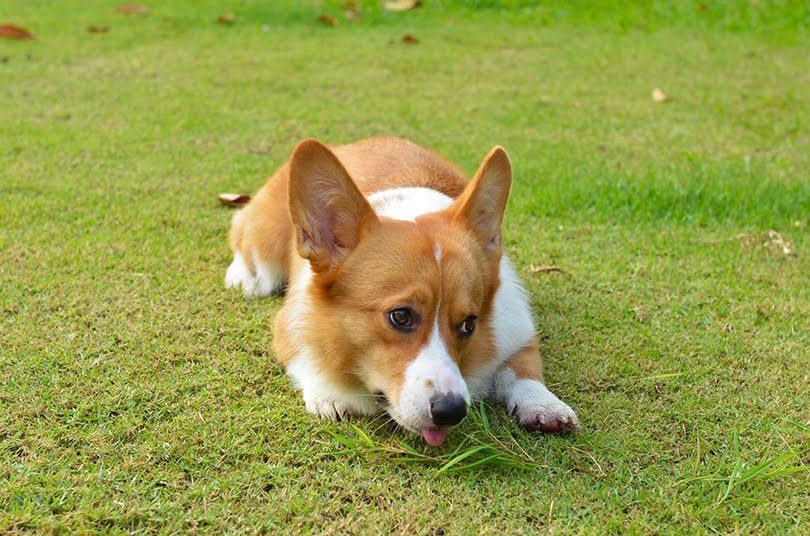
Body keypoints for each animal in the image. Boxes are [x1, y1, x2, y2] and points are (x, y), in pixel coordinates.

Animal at [224, 137, 576, 444]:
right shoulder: (288, 326)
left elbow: (522, 370)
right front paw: (330, 394)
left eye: (469, 324)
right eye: (401, 316)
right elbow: (308, 357)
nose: (452, 411)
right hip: (265, 247)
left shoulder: (516, 331)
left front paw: (544, 405)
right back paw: (241, 276)